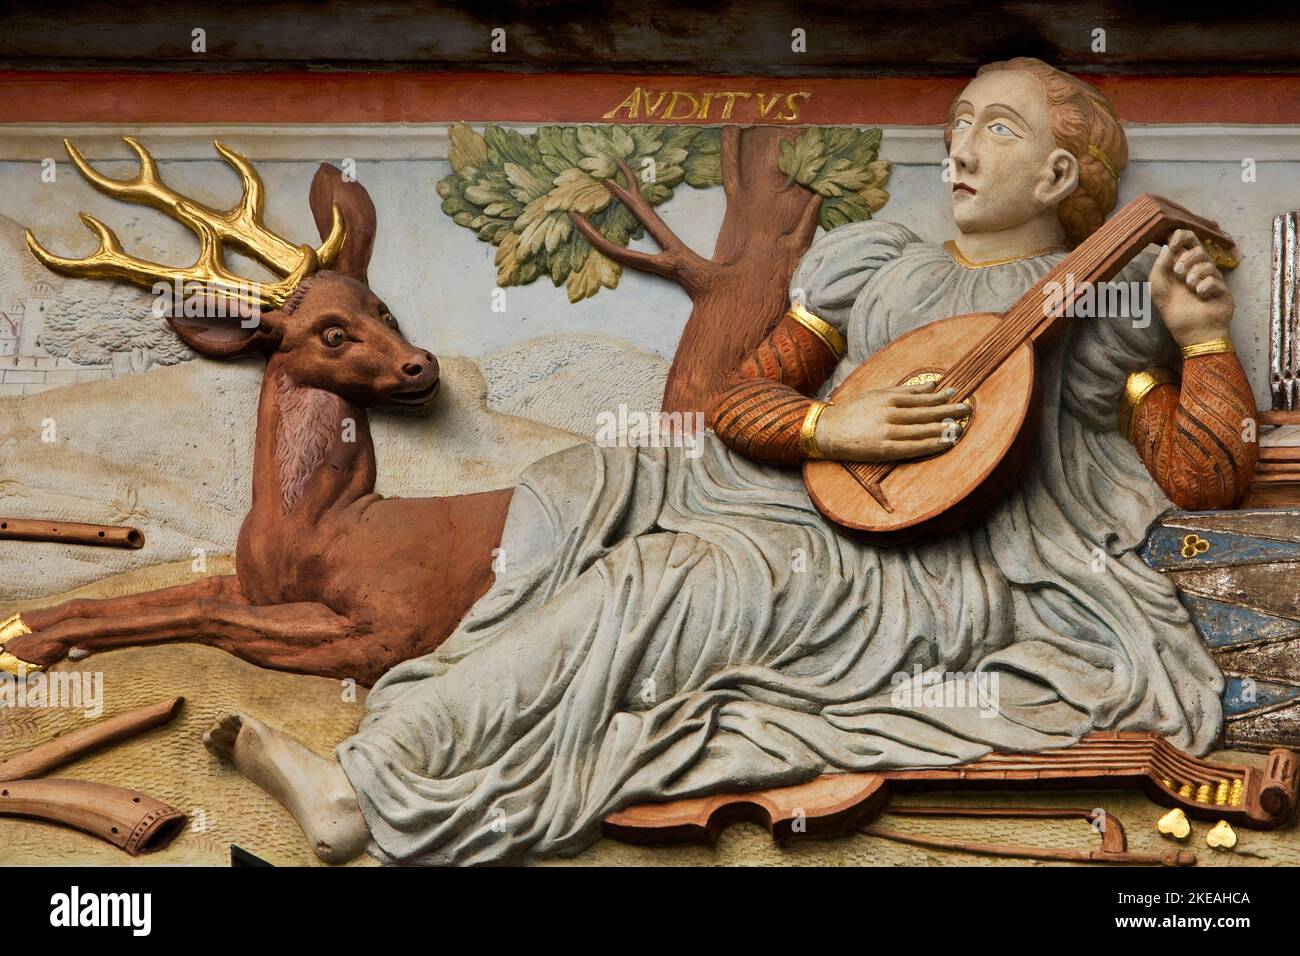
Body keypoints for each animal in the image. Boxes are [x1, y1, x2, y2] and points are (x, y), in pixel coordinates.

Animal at [1, 138, 517, 686]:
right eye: (334, 333)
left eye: (385, 314)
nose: (421, 363)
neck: (321, 527)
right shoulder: (258, 589)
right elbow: (171, 594)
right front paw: (23, 622)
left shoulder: (387, 626)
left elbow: (205, 612)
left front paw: (31, 645)